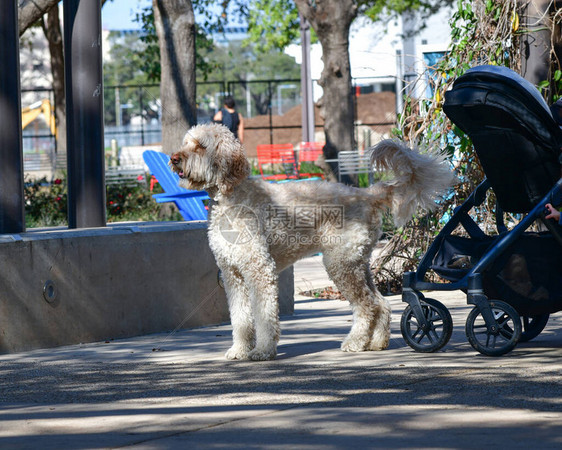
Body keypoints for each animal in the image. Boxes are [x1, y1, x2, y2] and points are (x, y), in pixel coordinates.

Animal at [168, 124, 452, 362]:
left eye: (200, 146)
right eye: (185, 142)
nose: (174, 158)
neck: (232, 196)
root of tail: (366, 194)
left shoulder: (259, 270)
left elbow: (264, 315)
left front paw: (263, 351)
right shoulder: (232, 274)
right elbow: (240, 317)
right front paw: (239, 350)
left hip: (340, 263)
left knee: (367, 306)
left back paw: (355, 342)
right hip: (358, 263)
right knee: (380, 302)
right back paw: (376, 343)